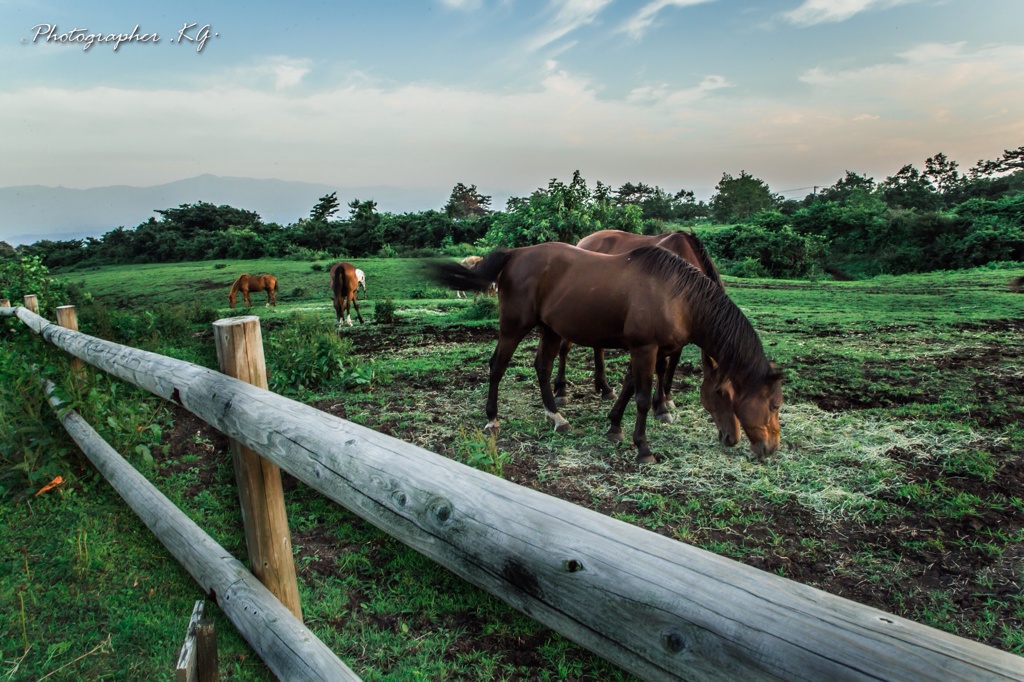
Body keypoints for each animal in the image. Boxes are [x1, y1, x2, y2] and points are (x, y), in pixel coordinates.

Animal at [552, 225, 737, 444]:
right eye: (722, 392)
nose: (730, 435)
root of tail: (584, 241)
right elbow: (661, 366)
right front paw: (661, 406)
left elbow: (672, 364)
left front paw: (666, 398)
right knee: (564, 349)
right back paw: (561, 391)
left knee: (599, 348)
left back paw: (604, 388)